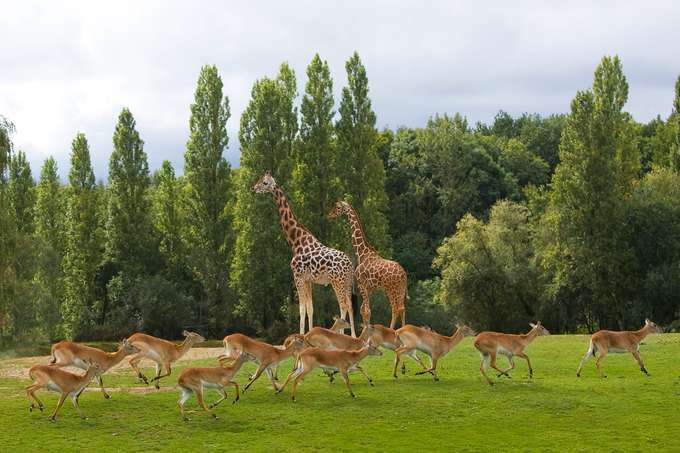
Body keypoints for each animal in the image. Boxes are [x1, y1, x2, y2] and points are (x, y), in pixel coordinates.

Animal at [252, 172, 357, 337]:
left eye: (264, 183)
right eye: (260, 181)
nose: (253, 188)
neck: (296, 242)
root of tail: (350, 265)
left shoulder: (298, 277)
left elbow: (301, 309)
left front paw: (301, 335)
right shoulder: (308, 280)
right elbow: (310, 308)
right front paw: (309, 334)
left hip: (337, 282)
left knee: (344, 306)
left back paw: (341, 335)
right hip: (346, 283)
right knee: (350, 306)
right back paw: (353, 336)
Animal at [329, 199, 407, 329]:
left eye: (337, 207)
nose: (329, 214)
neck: (361, 253)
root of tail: (404, 275)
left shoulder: (362, 285)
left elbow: (367, 310)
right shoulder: (369, 289)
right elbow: (363, 310)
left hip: (391, 290)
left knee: (395, 309)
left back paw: (392, 330)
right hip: (400, 290)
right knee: (402, 308)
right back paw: (404, 328)